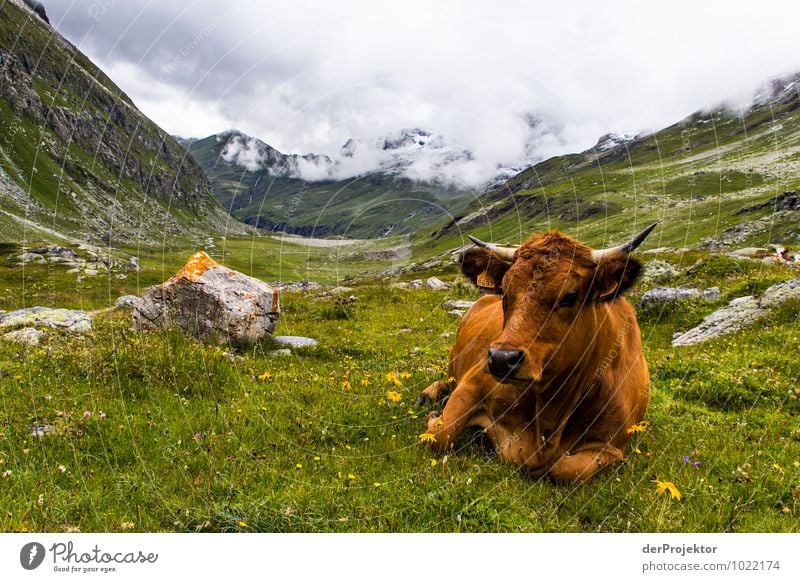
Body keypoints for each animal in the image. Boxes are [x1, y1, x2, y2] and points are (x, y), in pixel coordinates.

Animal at [418, 226, 656, 486]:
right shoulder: (473, 382)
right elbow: (440, 433)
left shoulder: (612, 446)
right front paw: (434, 416)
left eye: (569, 296)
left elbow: (567, 469)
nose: (501, 358)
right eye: (505, 293)